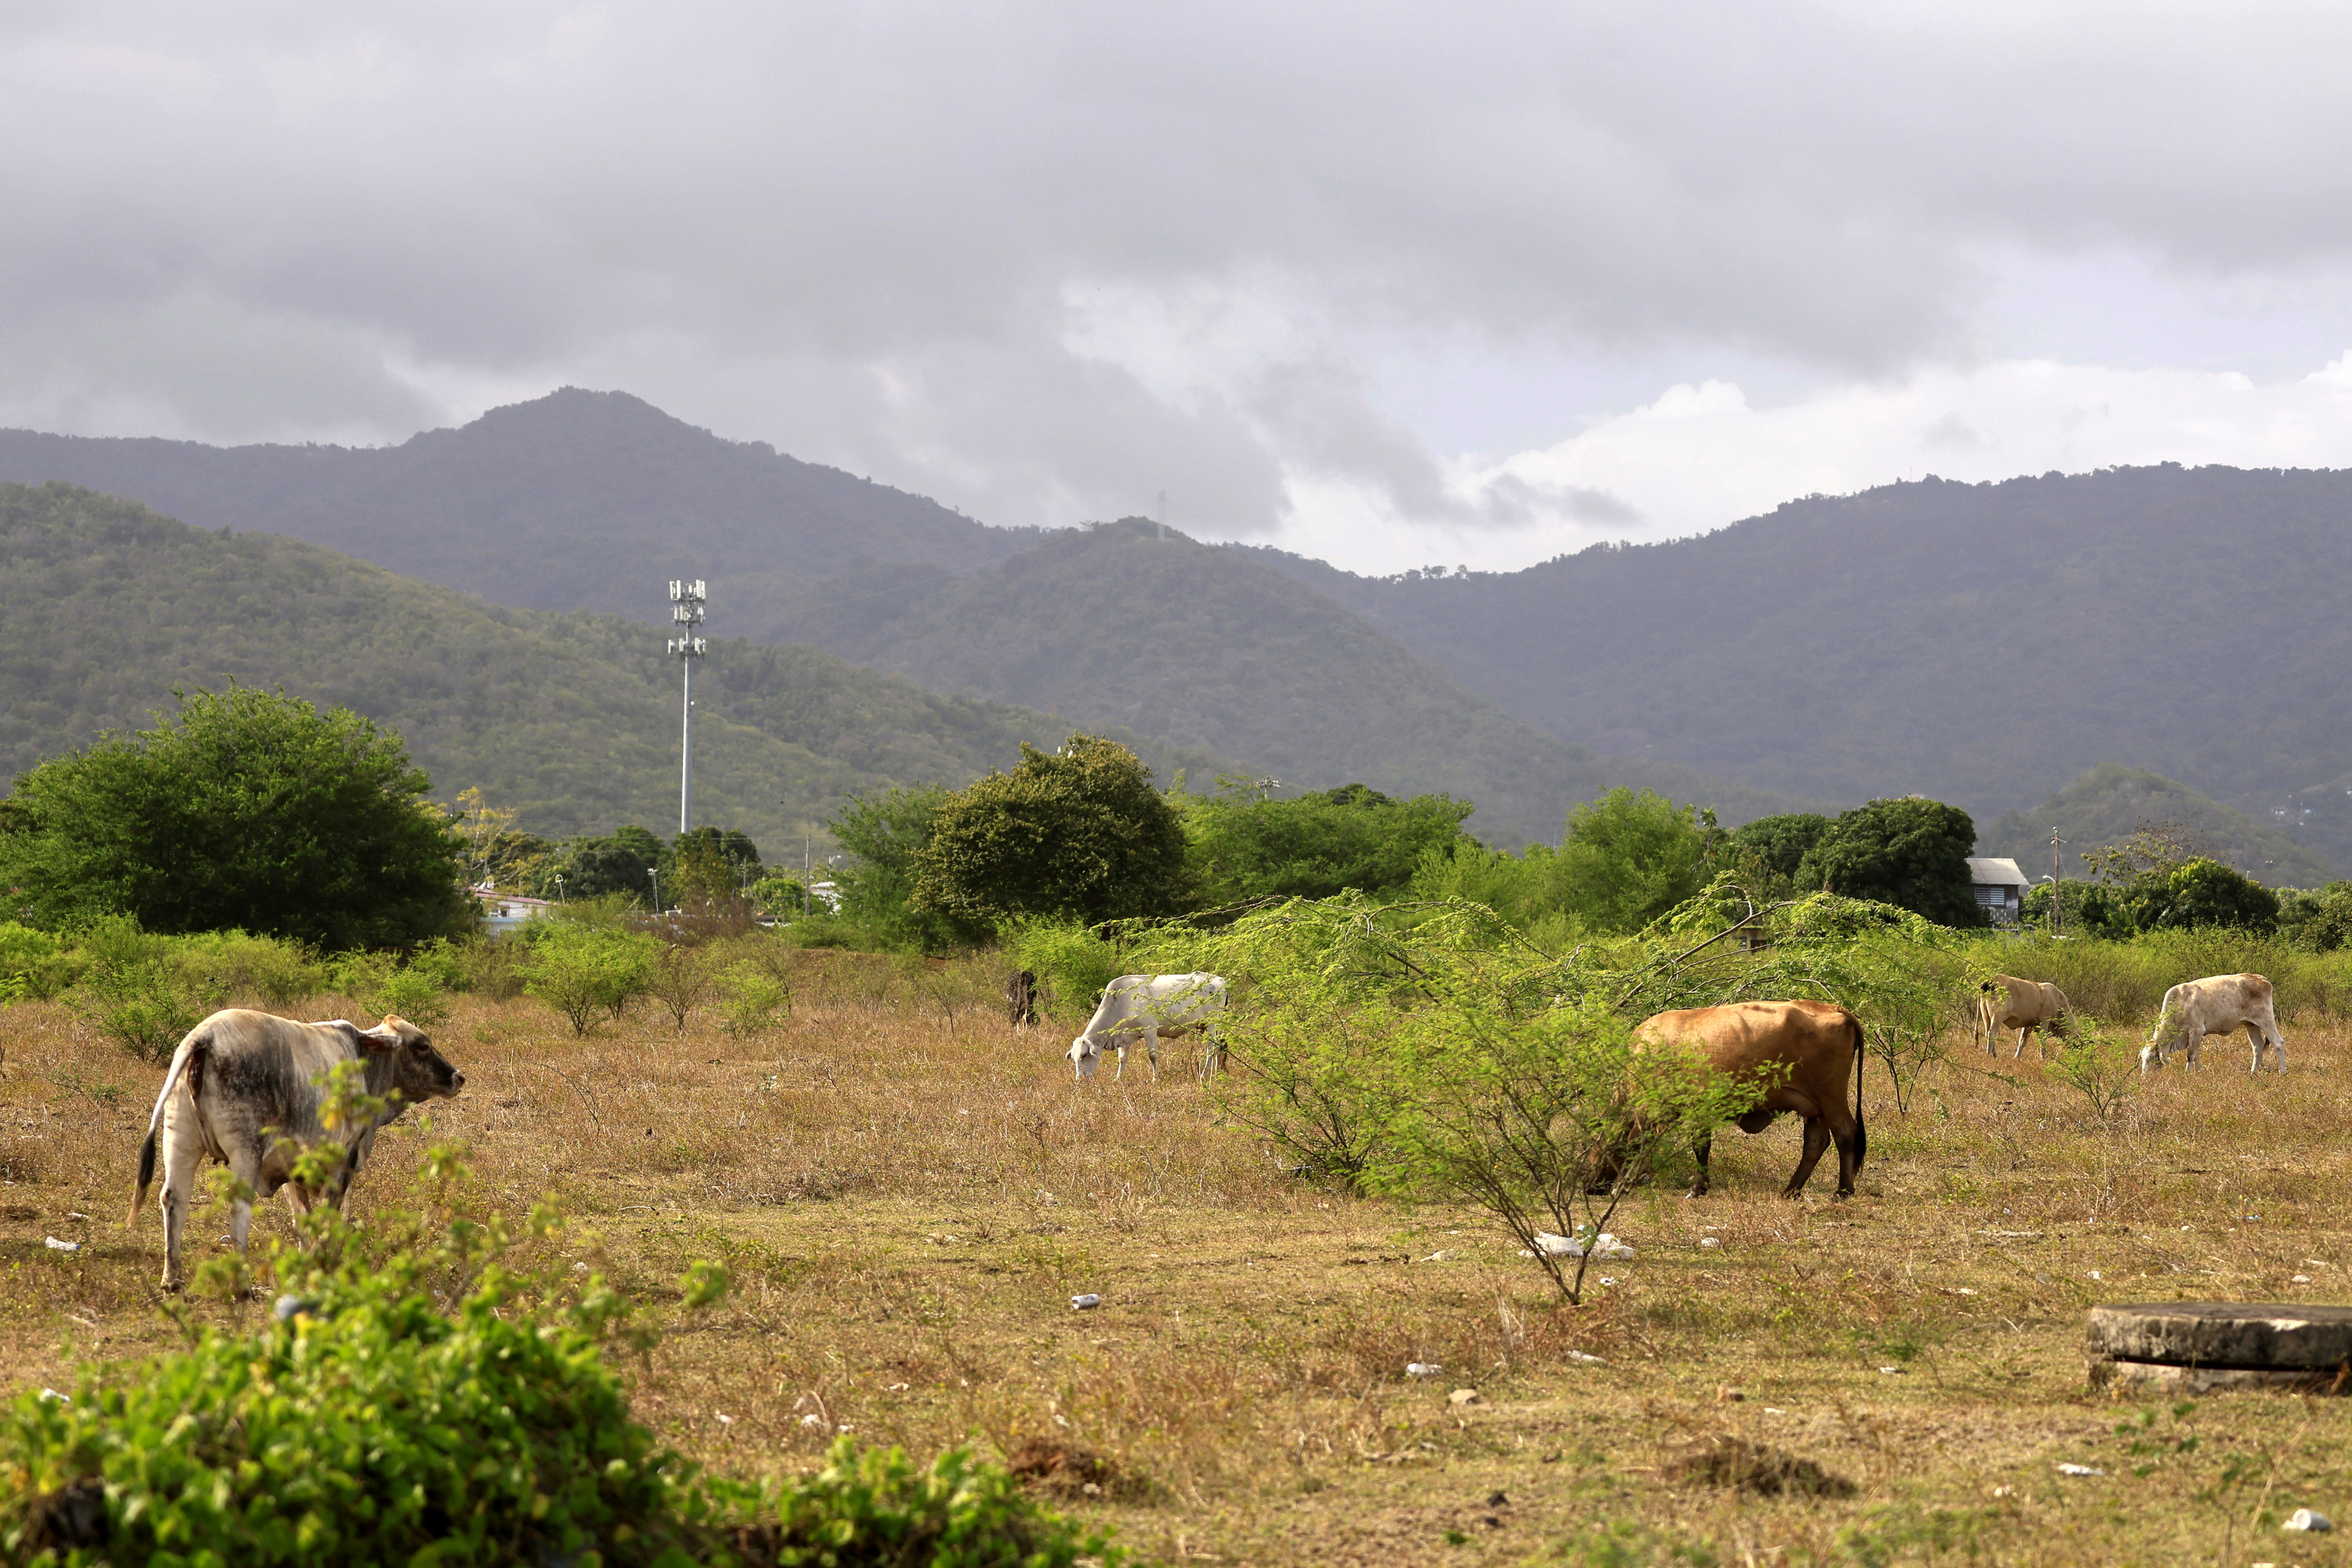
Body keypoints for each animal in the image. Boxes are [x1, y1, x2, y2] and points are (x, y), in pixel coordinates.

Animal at [127, 1009, 466, 1290]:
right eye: (422, 1046)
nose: (457, 1076)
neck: (363, 1060)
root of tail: (204, 1037)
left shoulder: (292, 1167)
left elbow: (303, 1219)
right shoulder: (342, 1160)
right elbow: (328, 1217)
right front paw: (320, 1263)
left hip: (179, 1139)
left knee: (174, 1198)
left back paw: (173, 1280)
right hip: (245, 1148)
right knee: (238, 1206)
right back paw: (242, 1287)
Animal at [1068, 973, 1227, 1082]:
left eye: (1084, 1055)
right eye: (1074, 1058)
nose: (1079, 1079)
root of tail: (1221, 980)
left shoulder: (1150, 1029)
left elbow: (1153, 1055)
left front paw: (1155, 1078)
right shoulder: (1123, 1037)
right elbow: (1122, 1059)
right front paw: (1118, 1078)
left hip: (1212, 1023)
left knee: (1211, 1048)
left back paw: (1204, 1074)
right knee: (1219, 1047)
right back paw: (1217, 1073)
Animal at [1623, 1000, 1867, 1199]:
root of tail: (1834, 1008)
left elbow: (1637, 1141)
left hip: (1831, 1098)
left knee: (1845, 1133)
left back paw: (1842, 1191)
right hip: (1815, 1109)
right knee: (1816, 1142)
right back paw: (1790, 1190)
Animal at [2141, 973, 2287, 1074]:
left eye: (2151, 1058)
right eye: (2142, 1057)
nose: (2144, 1077)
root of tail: (2259, 977)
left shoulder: (2196, 1030)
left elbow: (2190, 1056)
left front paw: (2187, 1074)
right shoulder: (2195, 1036)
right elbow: (2196, 1055)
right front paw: (2197, 1072)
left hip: (2266, 1019)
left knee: (2278, 1043)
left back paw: (2282, 1072)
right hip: (2251, 1024)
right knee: (2257, 1047)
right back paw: (2253, 1072)